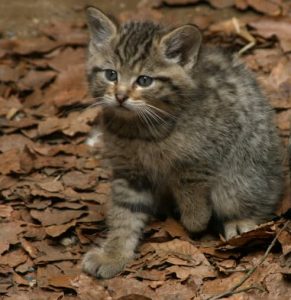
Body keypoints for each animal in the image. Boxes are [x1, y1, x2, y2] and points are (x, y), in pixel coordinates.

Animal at [82, 7, 286, 278]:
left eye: (144, 80)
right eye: (111, 74)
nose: (120, 96)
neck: (141, 128)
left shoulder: (207, 153)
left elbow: (189, 184)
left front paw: (195, 220)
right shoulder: (129, 170)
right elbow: (125, 211)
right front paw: (114, 253)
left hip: (244, 170)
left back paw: (241, 222)